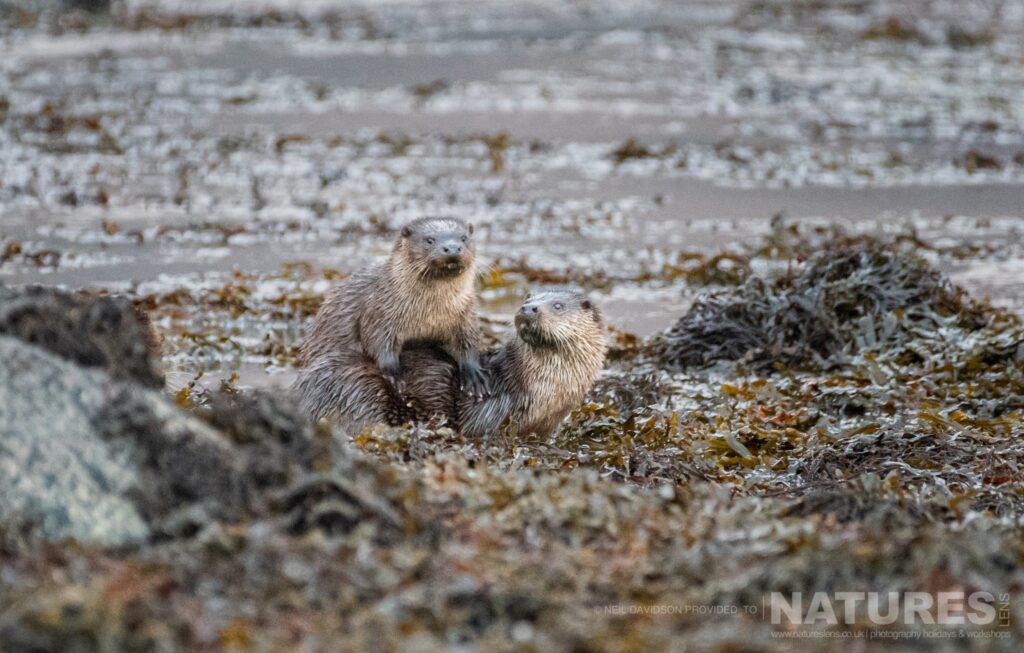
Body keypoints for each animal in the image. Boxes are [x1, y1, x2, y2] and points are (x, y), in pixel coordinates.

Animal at [294, 216, 485, 427]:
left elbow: (468, 343)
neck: (431, 313)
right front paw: (394, 375)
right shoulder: (380, 312)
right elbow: (378, 342)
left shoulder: (465, 316)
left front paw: (473, 376)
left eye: (463, 238)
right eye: (429, 240)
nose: (452, 248)